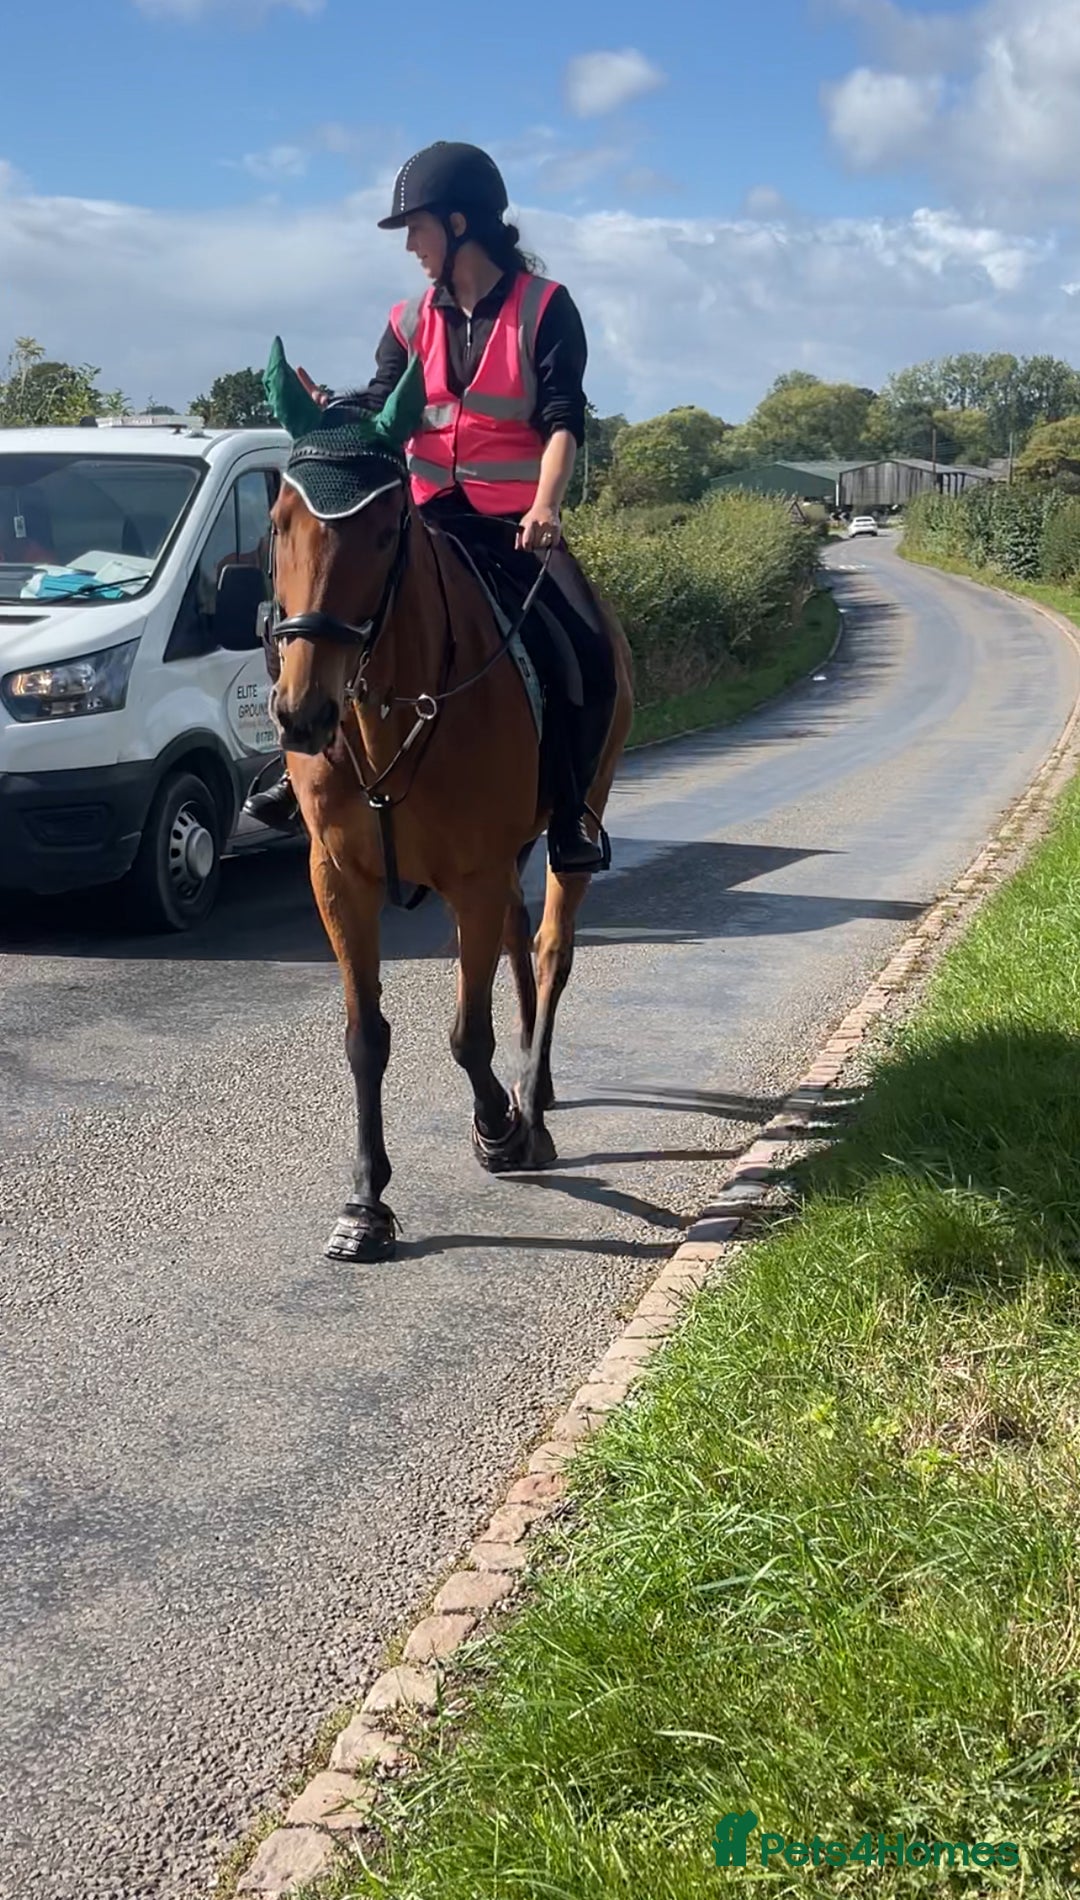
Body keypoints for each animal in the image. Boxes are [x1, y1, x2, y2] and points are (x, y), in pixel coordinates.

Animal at [267, 374, 634, 1263]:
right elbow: (365, 1038)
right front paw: (365, 1205)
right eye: (279, 523)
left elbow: (468, 1034)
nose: (302, 713)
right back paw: (538, 1088)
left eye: (381, 531)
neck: (390, 711)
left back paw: (529, 1100)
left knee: (549, 947)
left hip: (575, 820)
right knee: (516, 938)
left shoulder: (470, 876)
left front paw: (499, 1126)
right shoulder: (341, 880)